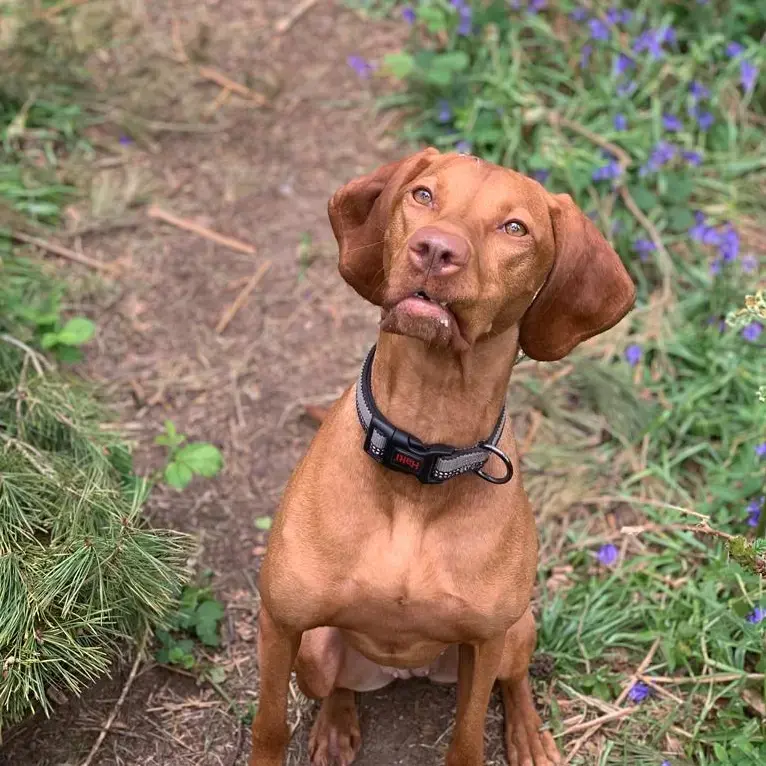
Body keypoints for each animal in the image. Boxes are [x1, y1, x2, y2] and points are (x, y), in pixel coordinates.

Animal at [250, 147, 636, 764]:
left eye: (514, 228)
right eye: (423, 195)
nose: (434, 249)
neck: (420, 451)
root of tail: (404, 672)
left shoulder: (484, 641)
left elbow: (468, 736)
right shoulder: (281, 625)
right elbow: (268, 727)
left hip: (515, 633)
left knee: (514, 679)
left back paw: (529, 734)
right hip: (315, 653)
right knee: (334, 685)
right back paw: (335, 725)